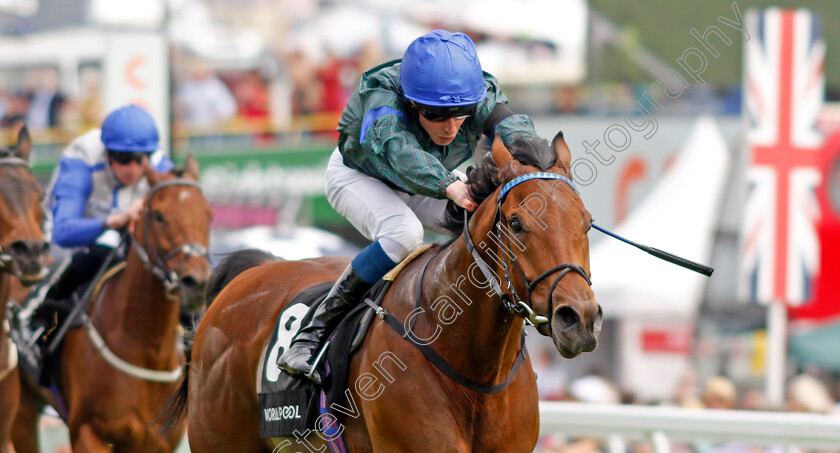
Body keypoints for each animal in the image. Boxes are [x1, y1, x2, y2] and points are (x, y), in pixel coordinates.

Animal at [12, 156, 213, 452]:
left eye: (208, 214)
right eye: (159, 216)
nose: (195, 281)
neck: (144, 347)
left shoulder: (156, 441)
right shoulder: (84, 430)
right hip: (22, 409)